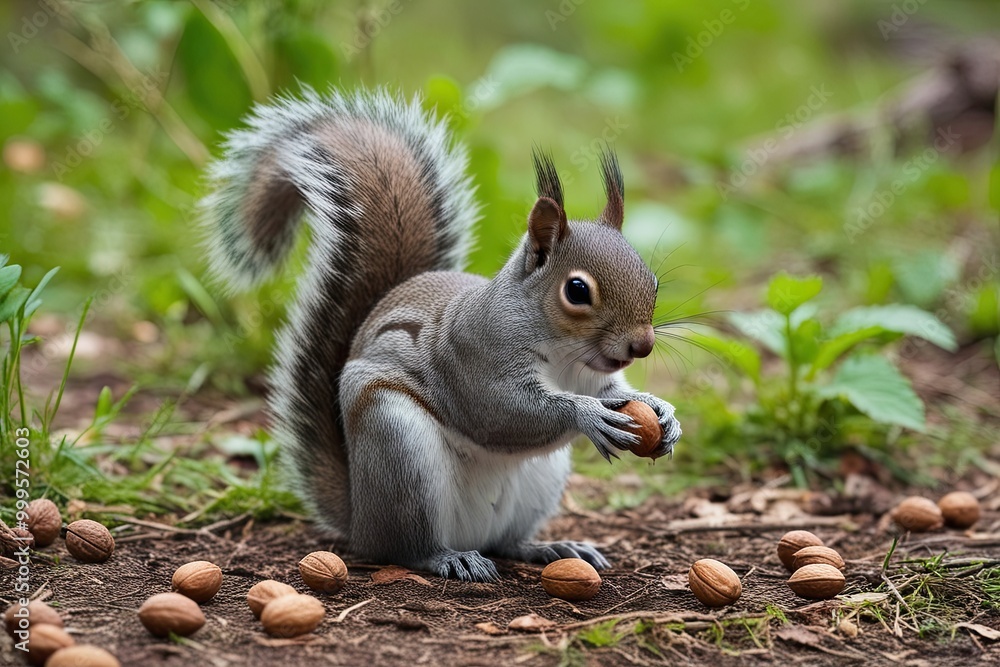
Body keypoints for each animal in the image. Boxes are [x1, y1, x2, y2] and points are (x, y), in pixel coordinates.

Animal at [202, 88, 681, 581]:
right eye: (577, 290)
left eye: (653, 282)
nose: (642, 345)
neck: (566, 356)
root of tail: (359, 520)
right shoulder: (475, 359)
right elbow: (505, 413)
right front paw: (586, 414)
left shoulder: (593, 376)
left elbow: (615, 392)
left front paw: (660, 411)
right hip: (398, 448)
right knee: (406, 547)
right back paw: (447, 557)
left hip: (538, 481)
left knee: (506, 542)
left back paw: (550, 547)